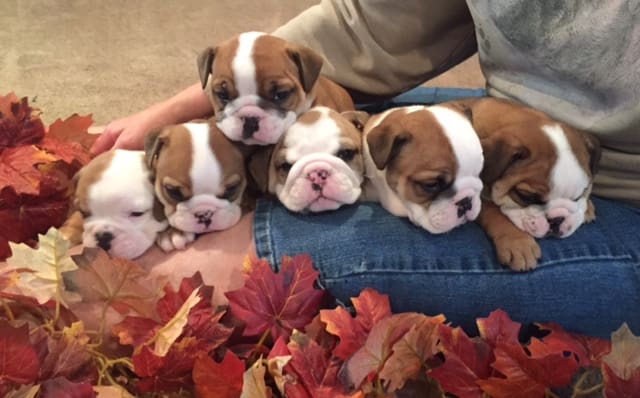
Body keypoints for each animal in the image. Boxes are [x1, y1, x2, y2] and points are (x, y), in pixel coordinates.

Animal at [450, 97, 600, 270]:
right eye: (525, 196)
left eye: (578, 196)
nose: (556, 219)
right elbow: (495, 213)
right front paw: (518, 243)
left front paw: (587, 206)